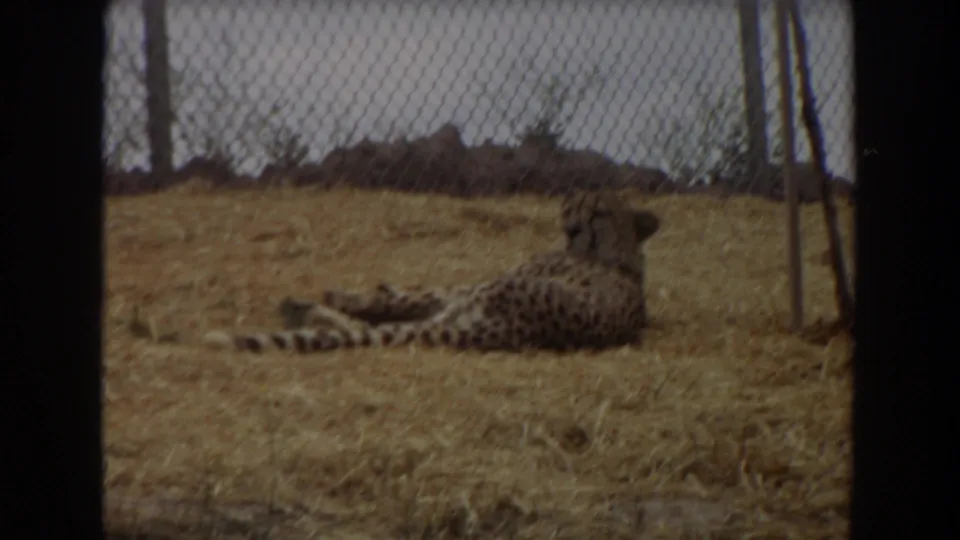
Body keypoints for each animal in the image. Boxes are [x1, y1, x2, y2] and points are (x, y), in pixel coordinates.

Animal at [202, 189, 661, 354]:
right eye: (571, 205)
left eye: (598, 212)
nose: (572, 228)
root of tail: (526, 329)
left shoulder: (468, 287)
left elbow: (406, 296)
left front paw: (355, 295)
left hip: (482, 295)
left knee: (386, 322)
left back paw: (307, 308)